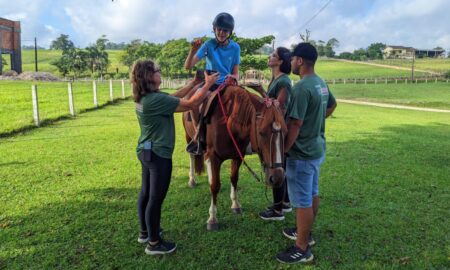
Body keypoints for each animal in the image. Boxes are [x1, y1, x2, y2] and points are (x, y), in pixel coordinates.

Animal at [182, 84, 284, 230]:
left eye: (285, 132)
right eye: (261, 132)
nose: (277, 178)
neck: (229, 122)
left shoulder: (237, 156)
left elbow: (234, 179)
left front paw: (235, 205)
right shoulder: (213, 156)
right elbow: (215, 185)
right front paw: (212, 218)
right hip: (188, 136)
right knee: (191, 156)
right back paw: (192, 180)